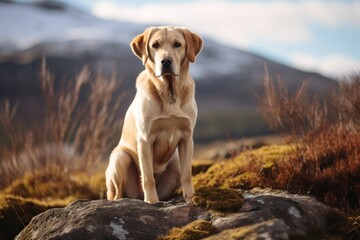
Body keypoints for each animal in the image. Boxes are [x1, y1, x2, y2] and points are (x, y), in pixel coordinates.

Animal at [105, 25, 204, 202]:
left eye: (177, 44)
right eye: (155, 45)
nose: (166, 61)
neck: (169, 91)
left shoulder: (187, 137)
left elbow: (187, 174)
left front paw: (190, 199)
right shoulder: (145, 139)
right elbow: (148, 175)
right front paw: (152, 201)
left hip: (175, 163)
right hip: (120, 157)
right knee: (116, 194)